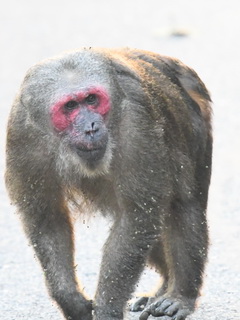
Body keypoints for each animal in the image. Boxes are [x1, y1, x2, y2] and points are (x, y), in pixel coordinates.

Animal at [5, 48, 212, 320]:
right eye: (70, 106)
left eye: (92, 100)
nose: (91, 127)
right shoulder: (21, 134)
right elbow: (47, 217)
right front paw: (69, 299)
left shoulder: (136, 124)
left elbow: (137, 216)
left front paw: (107, 308)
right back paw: (163, 288)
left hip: (197, 123)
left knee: (182, 205)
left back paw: (179, 296)